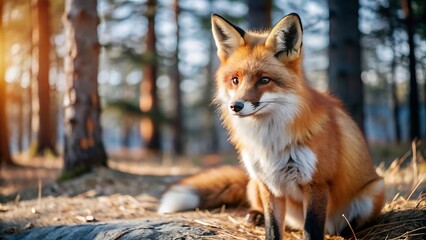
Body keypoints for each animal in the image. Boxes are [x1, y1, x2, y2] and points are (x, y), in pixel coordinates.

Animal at [158, 13, 384, 240]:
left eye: (264, 80)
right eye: (235, 80)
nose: (235, 106)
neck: (268, 140)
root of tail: (331, 228)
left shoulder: (317, 183)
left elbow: (311, 229)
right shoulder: (268, 183)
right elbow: (273, 228)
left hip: (374, 191)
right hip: (254, 183)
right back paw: (256, 215)